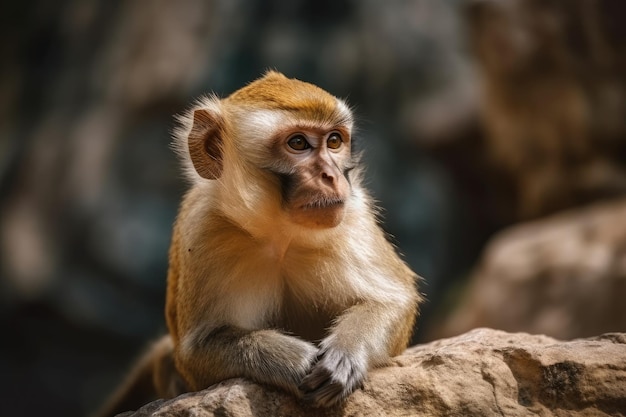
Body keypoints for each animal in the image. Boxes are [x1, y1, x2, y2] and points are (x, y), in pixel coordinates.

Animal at [95, 71, 420, 416]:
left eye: (334, 141)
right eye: (298, 143)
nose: (331, 176)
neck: (281, 236)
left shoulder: (354, 219)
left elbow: (393, 301)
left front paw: (345, 355)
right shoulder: (205, 231)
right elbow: (199, 349)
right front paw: (292, 361)